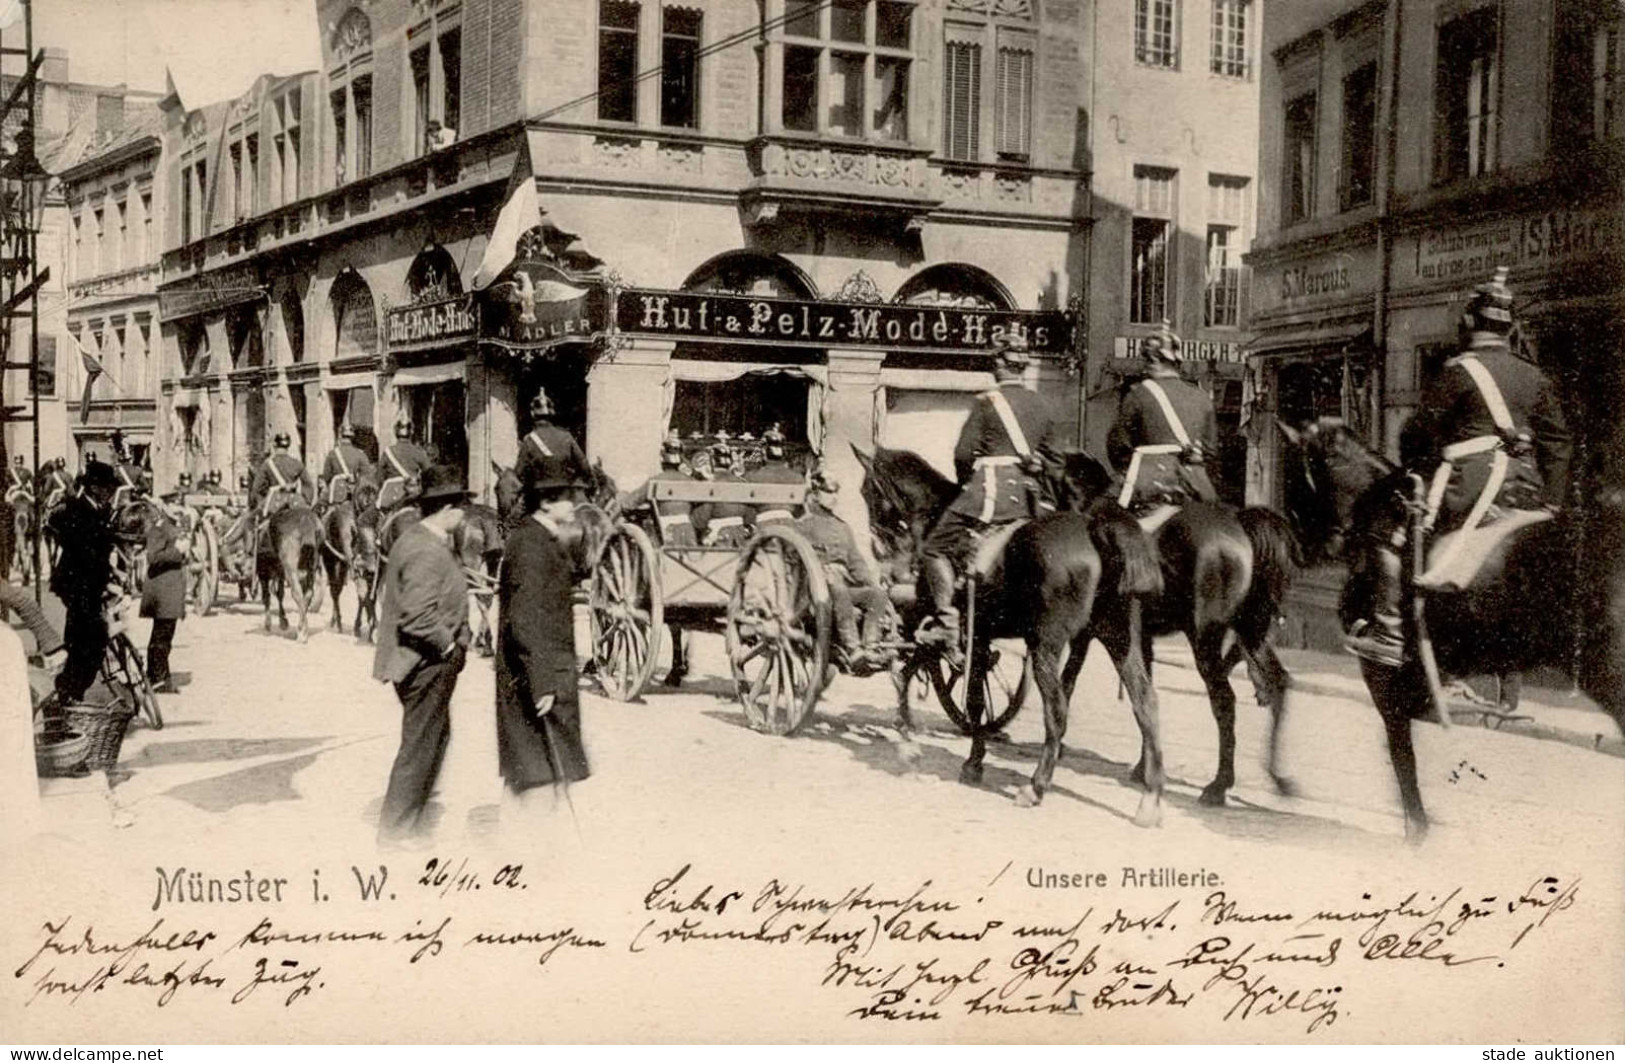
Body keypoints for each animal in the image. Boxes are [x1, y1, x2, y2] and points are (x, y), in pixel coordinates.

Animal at [851, 445, 1170, 819]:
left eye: (868, 491)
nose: (887, 563)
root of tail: (1093, 529)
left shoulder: (959, 635)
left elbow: (961, 697)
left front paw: (942, 753)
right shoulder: (973, 638)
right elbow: (940, 685)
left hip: (1045, 645)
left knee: (1057, 711)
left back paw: (1036, 786)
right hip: (1119, 639)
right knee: (1145, 703)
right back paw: (1150, 798)